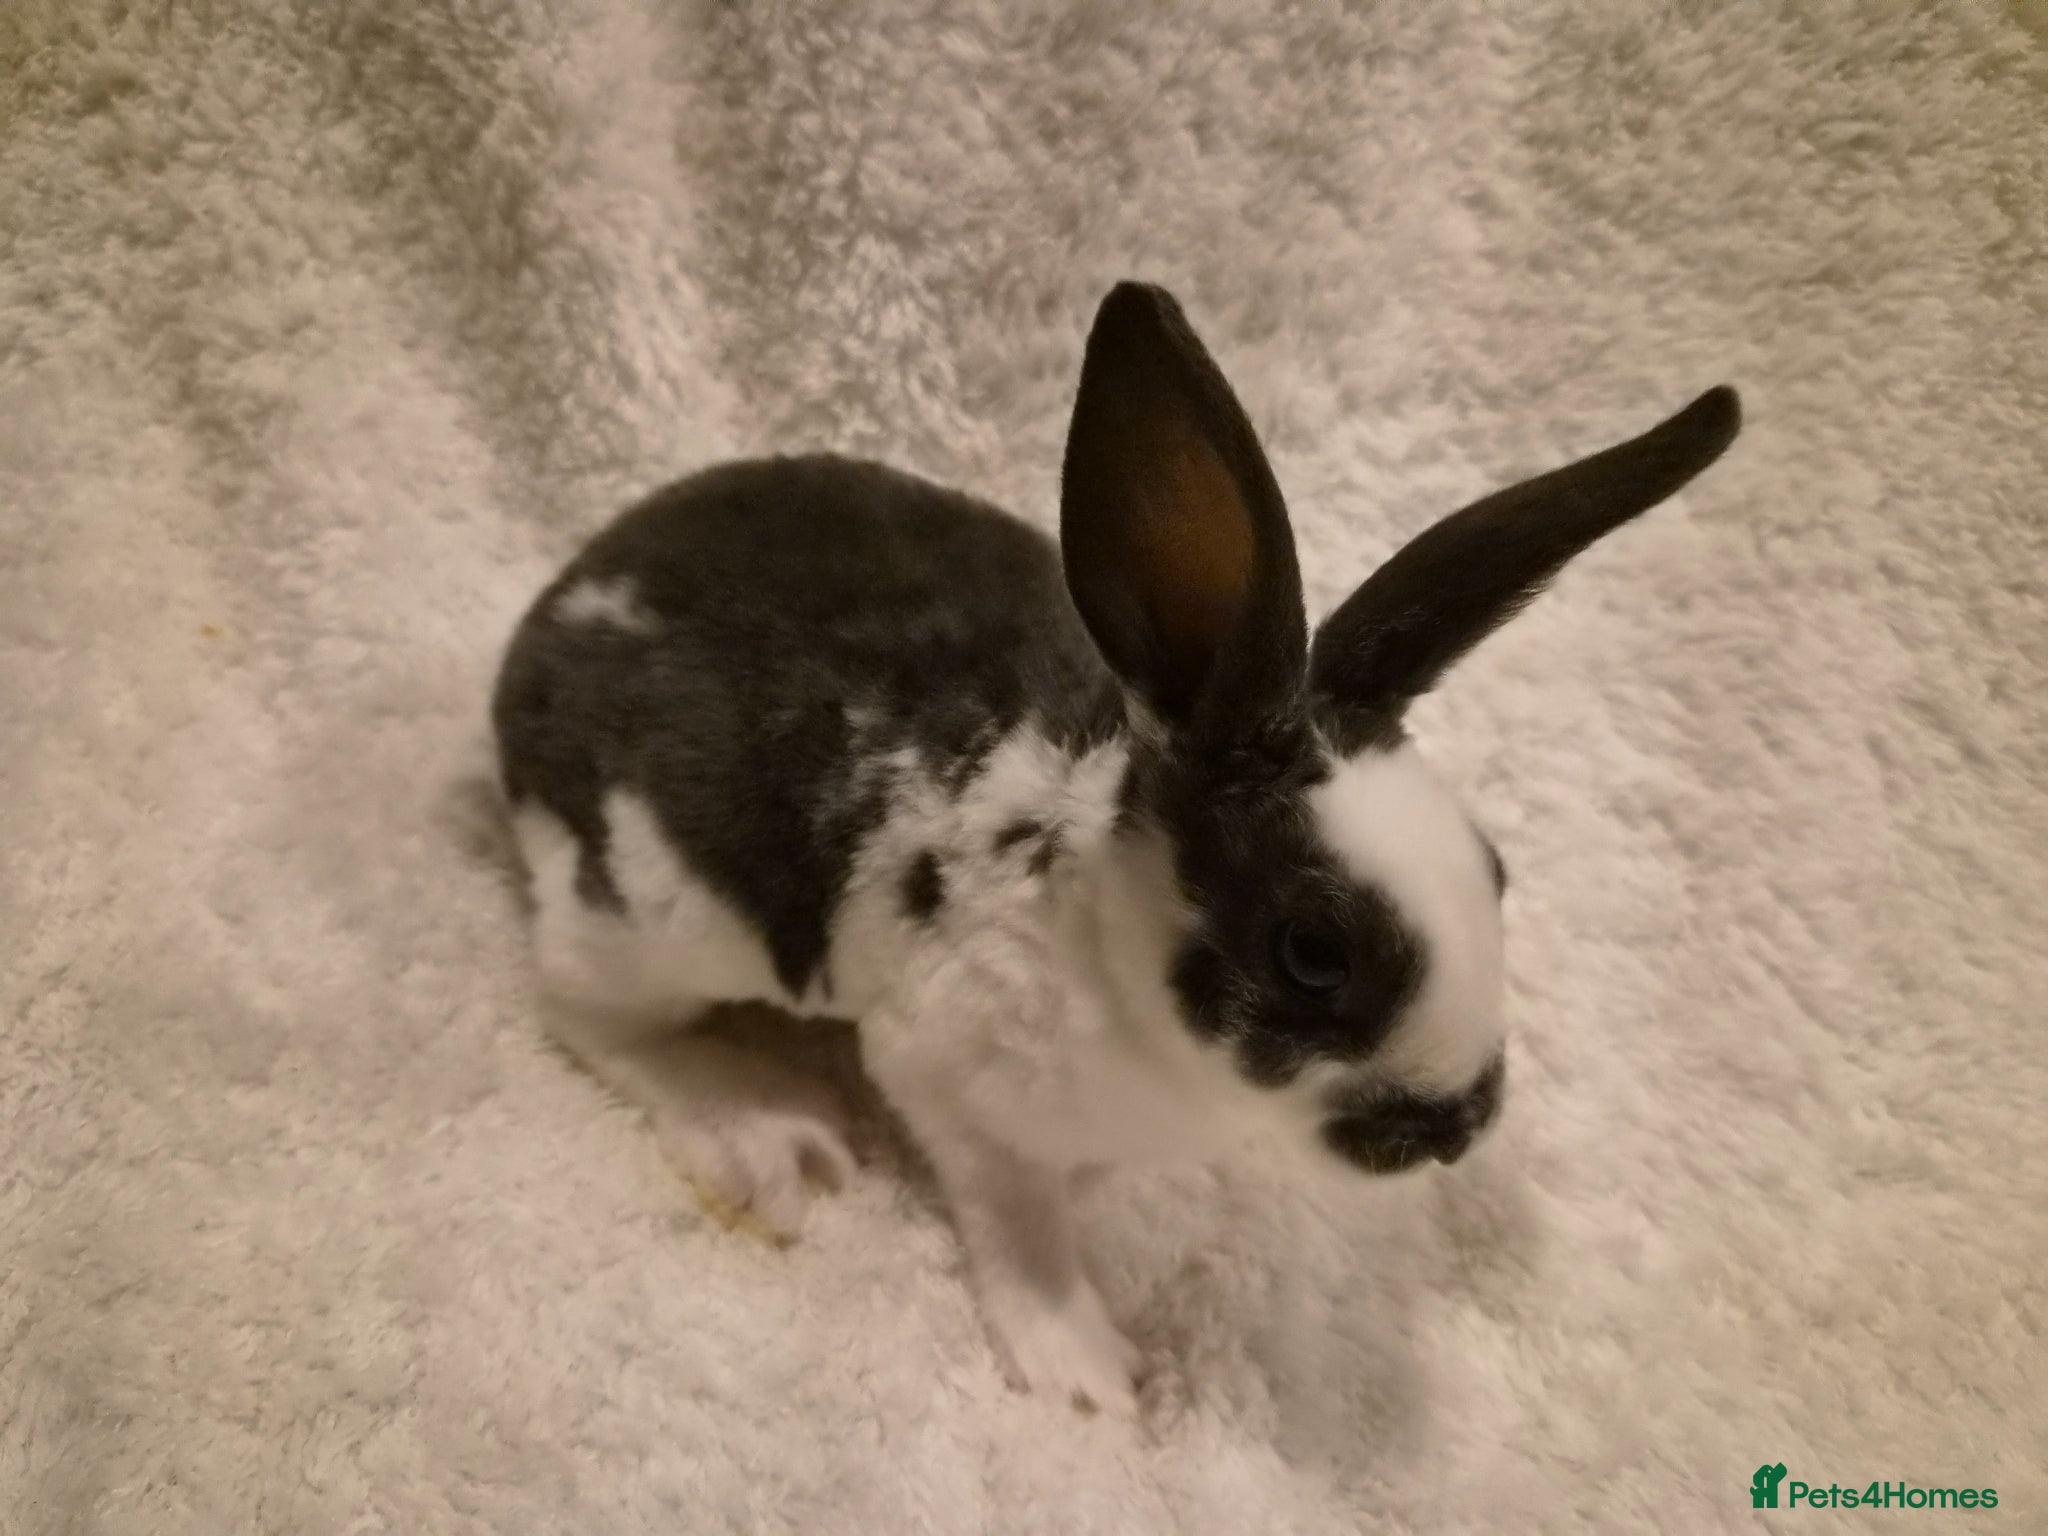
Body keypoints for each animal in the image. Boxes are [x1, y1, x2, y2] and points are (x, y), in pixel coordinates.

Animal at [491, 281, 1741, 1415]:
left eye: (1495, 869)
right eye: (1312, 952)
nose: (1456, 1127)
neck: (1097, 941)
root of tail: (535, 652)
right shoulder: (949, 1080)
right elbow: (1021, 1226)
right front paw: (1086, 1371)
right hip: (657, 917)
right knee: (578, 1006)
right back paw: (756, 1130)